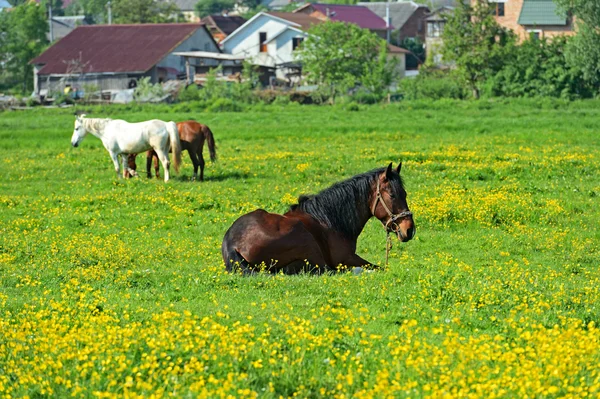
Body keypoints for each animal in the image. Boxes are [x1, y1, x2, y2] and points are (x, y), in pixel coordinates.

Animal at [223, 162, 414, 276]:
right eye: (392, 195)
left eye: (404, 193)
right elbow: (380, 267)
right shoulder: (345, 258)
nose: (409, 229)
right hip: (306, 240)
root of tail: (232, 243)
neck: (329, 221)